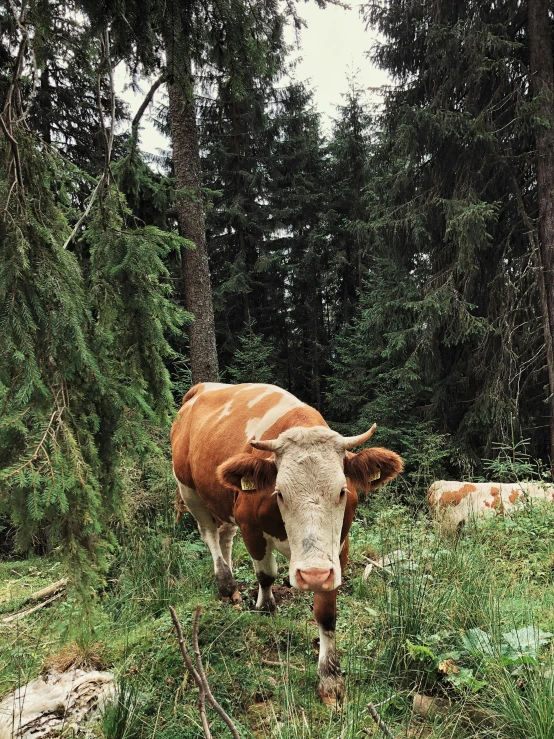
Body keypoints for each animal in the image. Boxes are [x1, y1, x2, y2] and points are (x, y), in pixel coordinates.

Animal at [169, 384, 402, 704]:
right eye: (279, 493)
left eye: (342, 491)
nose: (311, 575)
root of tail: (203, 389)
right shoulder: (250, 526)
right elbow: (266, 574)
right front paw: (266, 608)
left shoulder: (337, 551)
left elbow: (326, 612)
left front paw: (330, 679)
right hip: (189, 490)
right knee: (210, 534)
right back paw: (226, 584)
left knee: (225, 533)